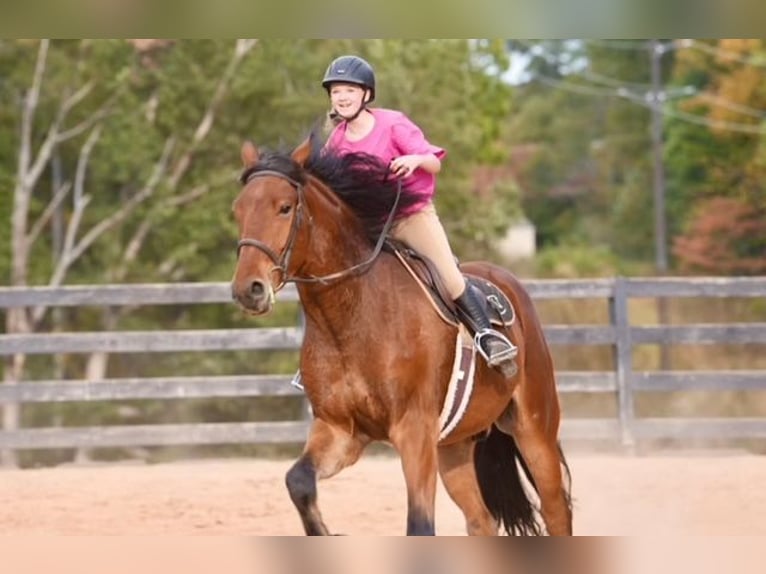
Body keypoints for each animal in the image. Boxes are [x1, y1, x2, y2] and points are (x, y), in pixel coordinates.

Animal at [230, 136, 573, 535]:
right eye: (238, 211)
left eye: (284, 208)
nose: (248, 289)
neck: (352, 316)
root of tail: (509, 282)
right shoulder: (340, 431)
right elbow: (298, 482)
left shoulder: (414, 430)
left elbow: (420, 524)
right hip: (454, 446)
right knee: (481, 521)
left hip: (534, 430)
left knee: (556, 512)